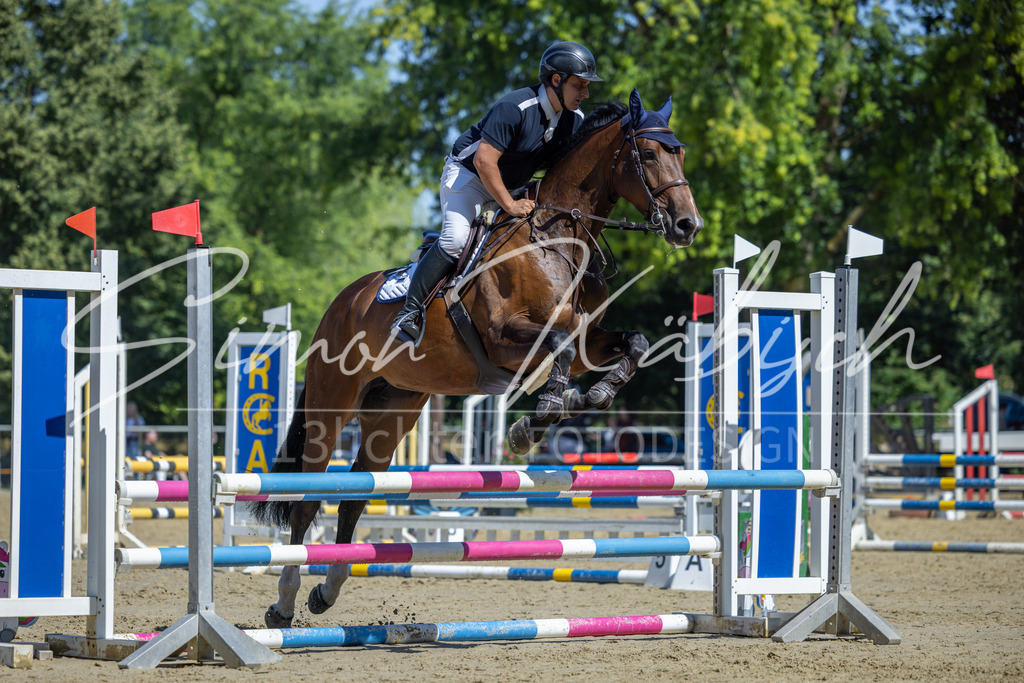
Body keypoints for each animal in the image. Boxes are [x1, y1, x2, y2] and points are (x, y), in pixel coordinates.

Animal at [250, 88, 703, 628]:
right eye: (650, 154)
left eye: (681, 152)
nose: (688, 225)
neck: (556, 239)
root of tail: (342, 302)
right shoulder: (504, 338)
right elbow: (558, 345)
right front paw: (538, 418)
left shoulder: (589, 341)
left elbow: (628, 344)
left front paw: (588, 396)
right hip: (331, 403)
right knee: (306, 500)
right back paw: (283, 603)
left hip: (392, 413)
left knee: (354, 498)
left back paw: (327, 591)